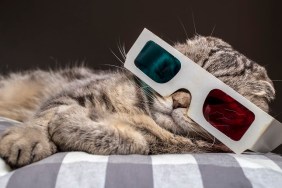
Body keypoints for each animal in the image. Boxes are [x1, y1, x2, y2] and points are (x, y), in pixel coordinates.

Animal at [0, 35, 276, 169]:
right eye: (174, 70)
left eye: (218, 105)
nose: (178, 100)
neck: (142, 112)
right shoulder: (76, 91)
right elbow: (44, 116)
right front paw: (28, 138)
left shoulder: (156, 145)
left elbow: (133, 141)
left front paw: (70, 122)